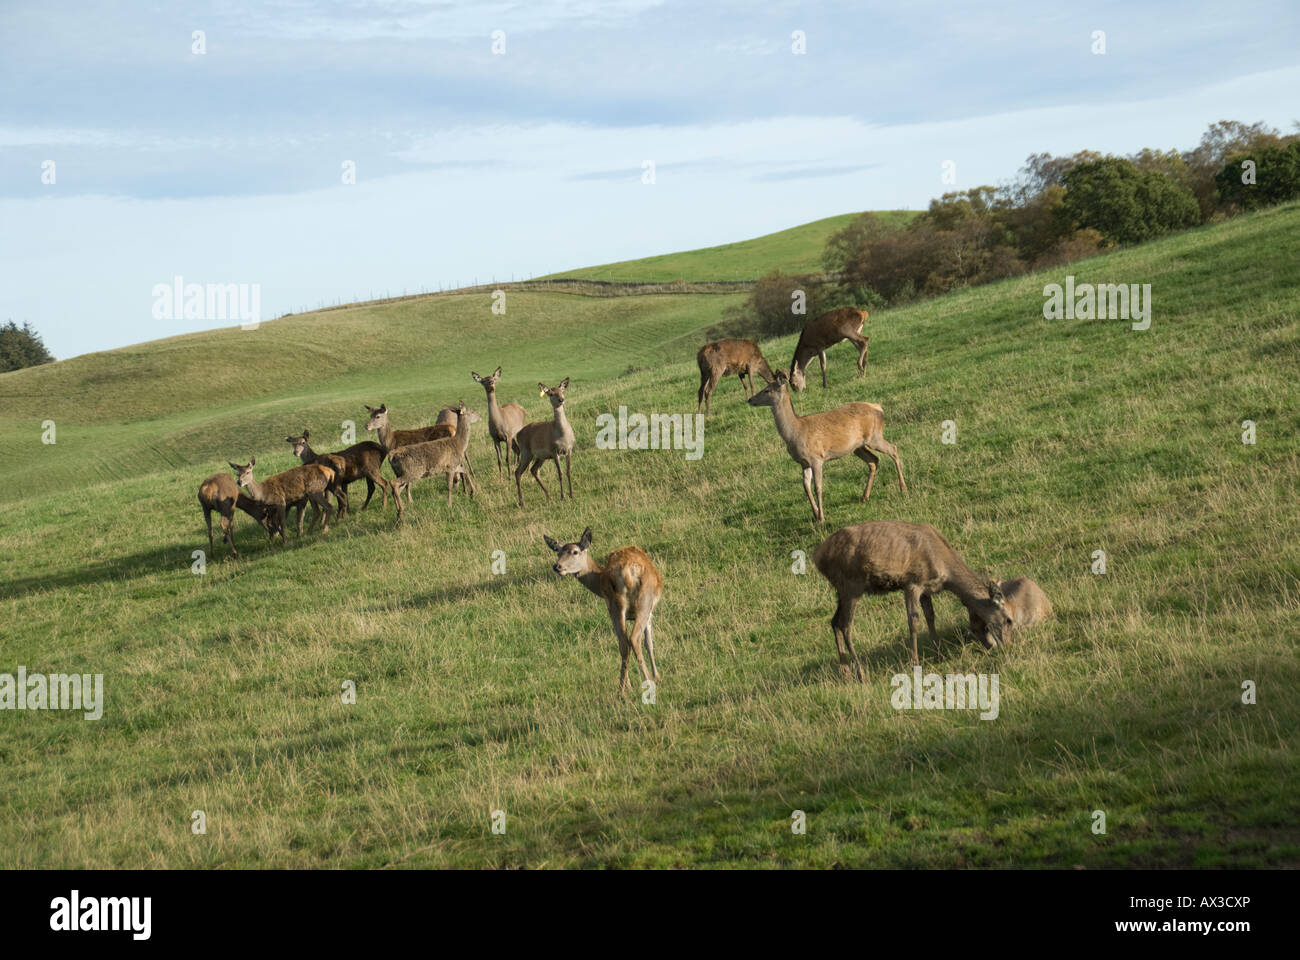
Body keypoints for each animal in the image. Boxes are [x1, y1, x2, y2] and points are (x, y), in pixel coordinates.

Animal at [513, 378, 574, 507]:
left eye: (562, 390)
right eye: (551, 393)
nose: (561, 399)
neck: (563, 436)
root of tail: (518, 434)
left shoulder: (569, 449)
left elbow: (568, 471)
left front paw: (572, 494)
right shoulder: (554, 451)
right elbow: (560, 473)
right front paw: (563, 497)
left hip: (541, 456)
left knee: (534, 470)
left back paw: (549, 496)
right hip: (526, 452)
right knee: (518, 472)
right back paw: (522, 501)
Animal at [544, 527, 663, 696]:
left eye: (574, 551)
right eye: (558, 552)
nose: (557, 566)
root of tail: (627, 573)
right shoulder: (650, 611)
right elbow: (649, 642)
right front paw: (657, 677)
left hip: (616, 606)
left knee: (623, 643)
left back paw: (622, 689)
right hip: (641, 603)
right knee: (633, 639)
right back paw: (646, 682)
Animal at [747, 370, 906, 523]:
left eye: (767, 390)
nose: (749, 399)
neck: (795, 433)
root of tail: (879, 408)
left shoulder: (816, 457)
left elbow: (818, 487)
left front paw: (822, 518)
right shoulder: (804, 462)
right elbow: (806, 487)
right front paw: (815, 514)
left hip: (874, 436)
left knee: (893, 449)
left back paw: (903, 488)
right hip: (858, 447)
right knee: (873, 461)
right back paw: (864, 497)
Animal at [812, 521, 1015, 680]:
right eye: (1008, 620)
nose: (1004, 646)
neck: (945, 568)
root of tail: (817, 557)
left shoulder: (926, 588)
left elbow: (930, 617)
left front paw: (939, 655)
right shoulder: (912, 583)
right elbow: (914, 621)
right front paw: (914, 663)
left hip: (841, 590)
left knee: (834, 621)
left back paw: (845, 672)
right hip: (851, 586)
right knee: (845, 625)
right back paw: (861, 674)